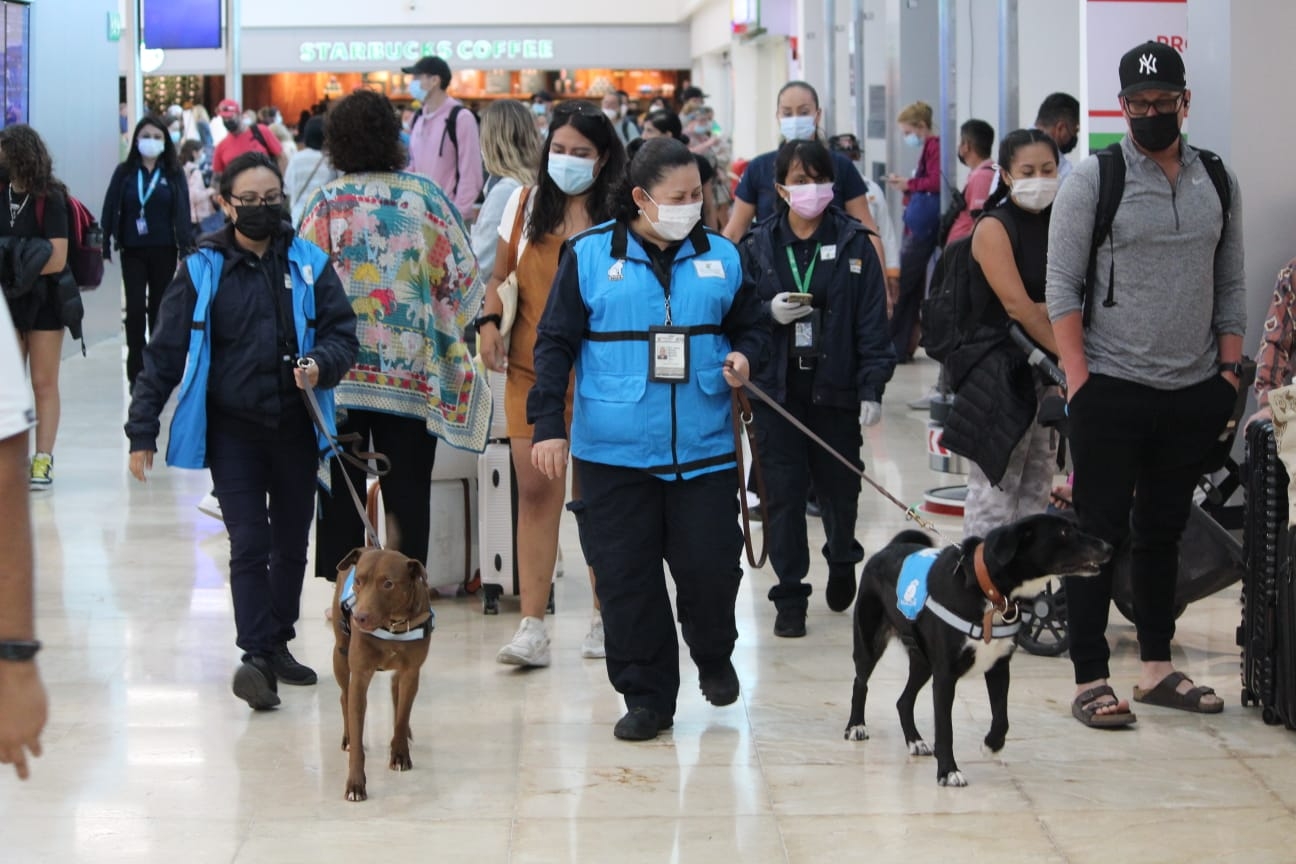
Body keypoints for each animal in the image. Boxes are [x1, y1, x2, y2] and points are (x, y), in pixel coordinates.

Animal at [331, 551, 438, 803]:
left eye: (388, 583)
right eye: (358, 581)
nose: (360, 617)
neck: (393, 625)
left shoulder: (411, 672)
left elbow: (401, 716)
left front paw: (399, 753)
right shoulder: (360, 677)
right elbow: (357, 732)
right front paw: (355, 784)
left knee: (395, 690)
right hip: (340, 654)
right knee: (344, 696)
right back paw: (347, 737)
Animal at [844, 518, 1109, 787]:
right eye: (1064, 532)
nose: (1107, 547)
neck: (988, 591)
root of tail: (886, 549)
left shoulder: (999, 667)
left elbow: (1001, 718)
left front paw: (991, 745)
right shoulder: (945, 676)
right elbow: (945, 729)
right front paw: (948, 771)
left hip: (923, 660)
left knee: (903, 701)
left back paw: (915, 740)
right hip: (870, 642)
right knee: (860, 683)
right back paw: (856, 726)